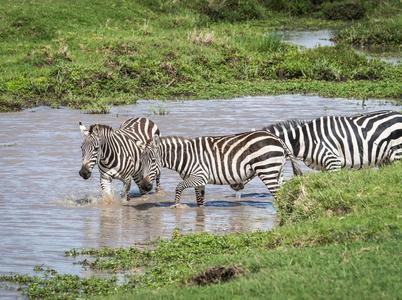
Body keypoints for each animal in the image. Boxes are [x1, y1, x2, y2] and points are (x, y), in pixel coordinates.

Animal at [137, 130, 300, 207]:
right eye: (141, 162)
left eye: (153, 161)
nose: (145, 186)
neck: (186, 156)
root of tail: (276, 138)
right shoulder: (199, 182)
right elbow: (200, 201)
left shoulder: (200, 175)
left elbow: (178, 187)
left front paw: (177, 206)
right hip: (277, 171)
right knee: (286, 191)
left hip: (267, 170)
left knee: (279, 194)